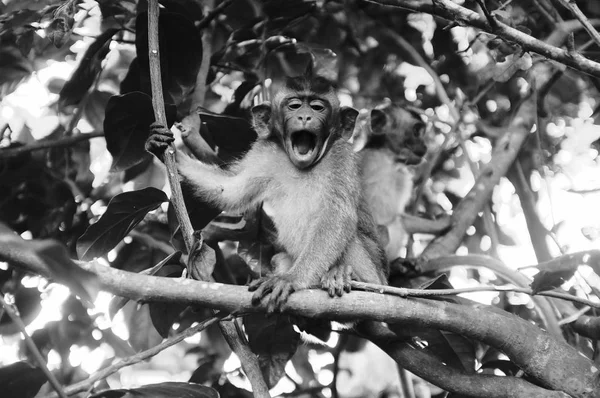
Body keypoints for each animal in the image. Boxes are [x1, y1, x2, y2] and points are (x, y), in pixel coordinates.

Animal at [146, 73, 390, 312]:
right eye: (294, 106)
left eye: (317, 107)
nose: (305, 117)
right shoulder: (265, 151)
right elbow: (231, 190)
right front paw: (167, 151)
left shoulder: (342, 157)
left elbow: (338, 216)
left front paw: (292, 279)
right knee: (278, 257)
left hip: (376, 277)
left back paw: (344, 276)